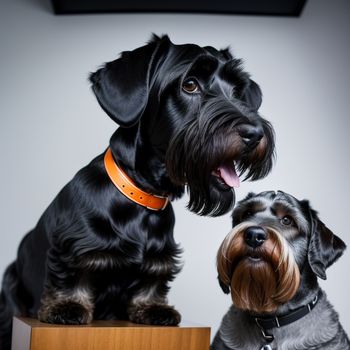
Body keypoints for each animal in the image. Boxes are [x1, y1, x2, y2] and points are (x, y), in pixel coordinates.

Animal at [0, 34, 274, 348]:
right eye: (190, 84)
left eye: (237, 90)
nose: (254, 133)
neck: (142, 198)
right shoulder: (72, 248)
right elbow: (72, 275)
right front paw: (67, 305)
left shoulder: (160, 259)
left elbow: (153, 279)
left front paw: (153, 307)